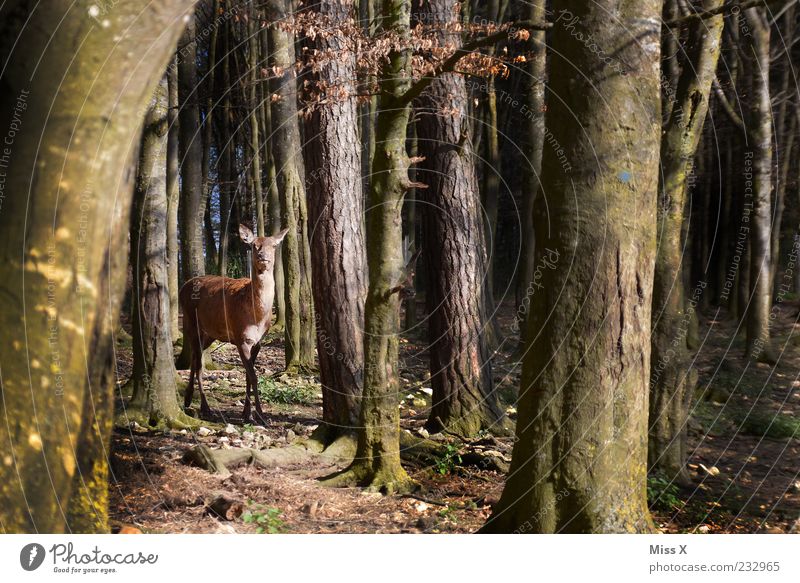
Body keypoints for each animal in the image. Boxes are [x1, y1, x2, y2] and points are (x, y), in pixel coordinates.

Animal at [178, 225, 288, 424]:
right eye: (253, 245)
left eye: (274, 245)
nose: (263, 256)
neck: (257, 317)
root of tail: (184, 286)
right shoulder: (240, 338)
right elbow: (253, 376)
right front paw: (260, 415)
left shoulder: (258, 342)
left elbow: (248, 375)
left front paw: (246, 413)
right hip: (190, 321)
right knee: (198, 363)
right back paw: (204, 407)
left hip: (209, 333)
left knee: (195, 359)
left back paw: (190, 399)